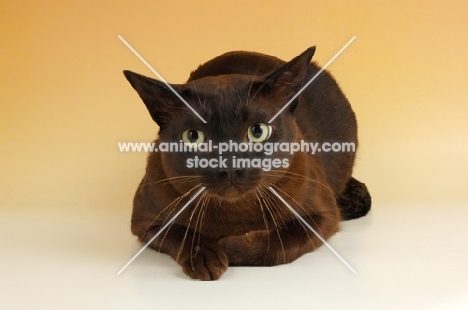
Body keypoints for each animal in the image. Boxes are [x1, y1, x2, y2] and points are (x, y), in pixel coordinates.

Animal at [122, 46, 372, 280]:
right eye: (193, 137)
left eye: (258, 131)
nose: (230, 166)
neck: (236, 214)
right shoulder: (145, 222)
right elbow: (182, 234)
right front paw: (206, 258)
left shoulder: (324, 215)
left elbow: (279, 243)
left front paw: (227, 247)